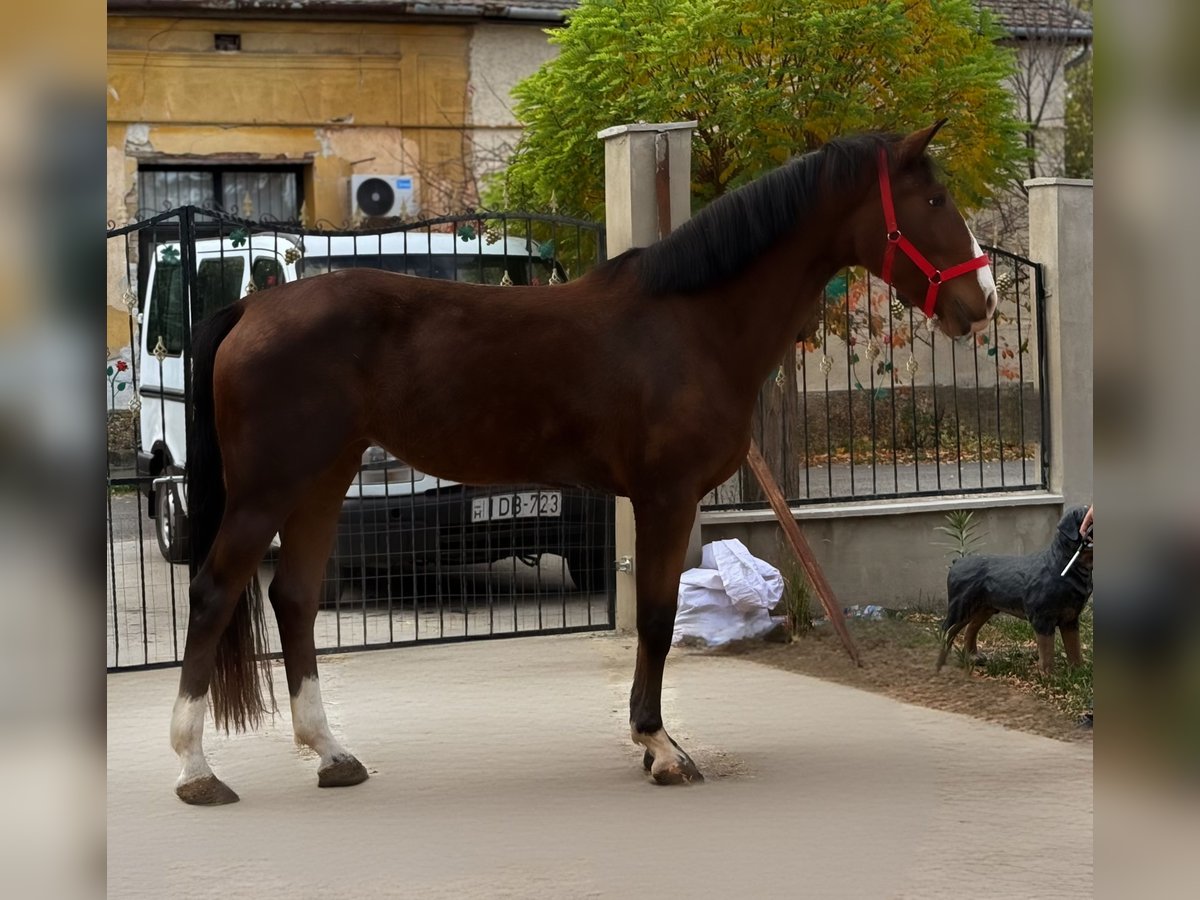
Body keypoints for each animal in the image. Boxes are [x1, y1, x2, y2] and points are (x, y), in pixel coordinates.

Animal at [170, 121, 998, 804]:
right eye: (932, 197)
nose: (983, 300)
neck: (693, 323)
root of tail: (252, 307)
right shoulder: (666, 498)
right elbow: (658, 618)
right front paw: (660, 748)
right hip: (269, 488)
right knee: (214, 593)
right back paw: (196, 770)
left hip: (322, 479)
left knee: (294, 599)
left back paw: (332, 754)